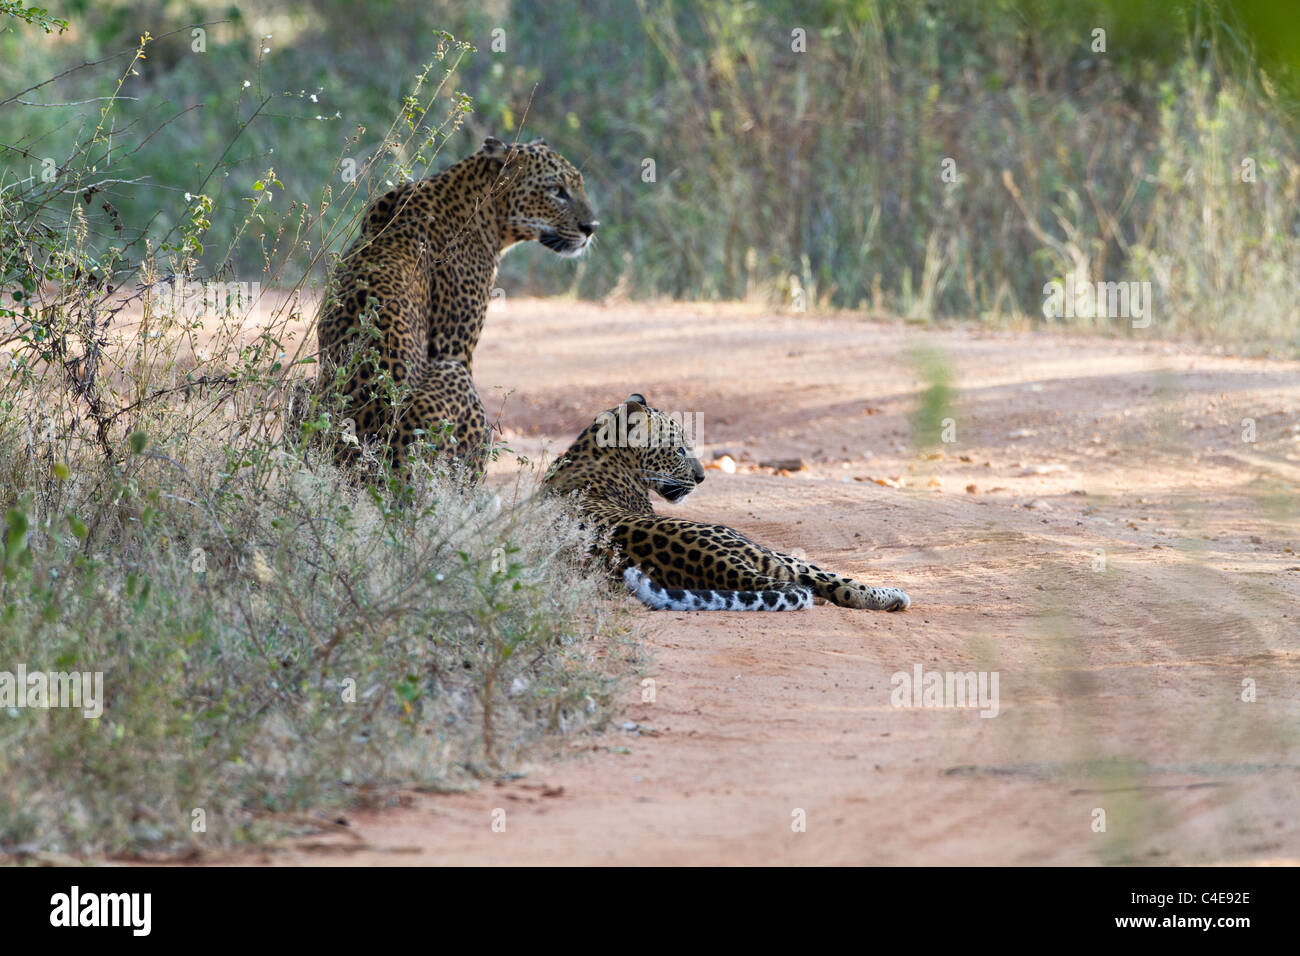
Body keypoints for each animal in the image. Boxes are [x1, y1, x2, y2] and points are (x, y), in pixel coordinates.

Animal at [543, 395, 909, 613]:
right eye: (679, 450)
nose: (703, 476)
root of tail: (725, 569)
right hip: (757, 550)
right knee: (828, 580)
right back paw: (892, 596)